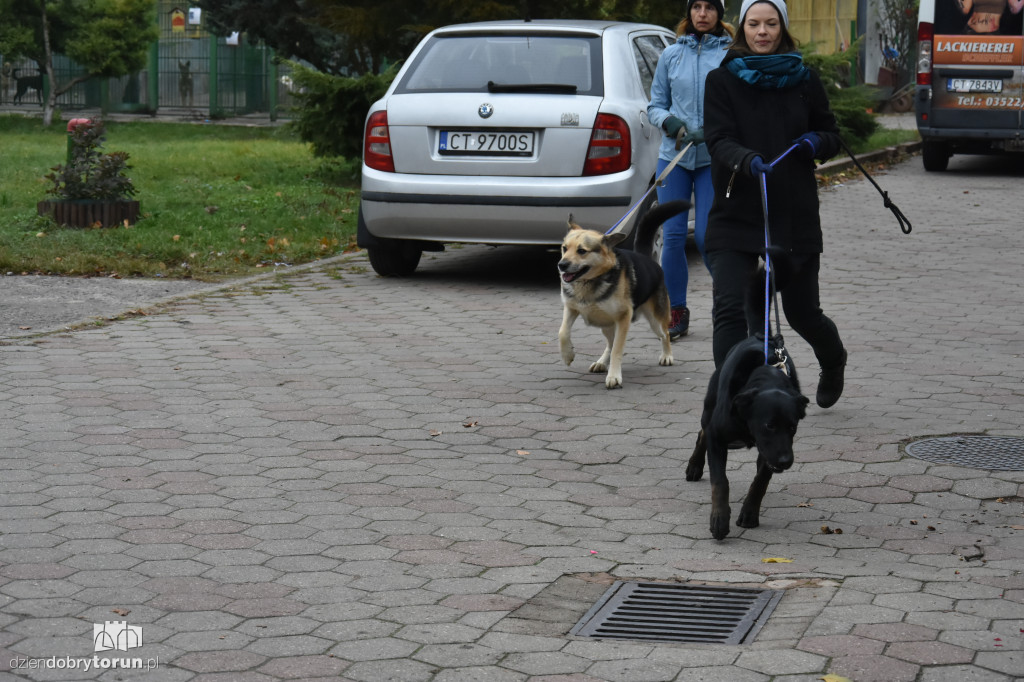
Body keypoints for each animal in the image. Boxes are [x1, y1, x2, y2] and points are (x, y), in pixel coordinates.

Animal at [557, 197, 692, 387]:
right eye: (564, 248)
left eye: (582, 251)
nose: (561, 265)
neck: (590, 282)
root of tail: (647, 258)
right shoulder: (571, 309)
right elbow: (562, 332)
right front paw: (568, 355)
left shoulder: (623, 318)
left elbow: (617, 350)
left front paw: (614, 376)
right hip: (606, 325)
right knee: (609, 343)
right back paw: (601, 362)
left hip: (654, 321)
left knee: (664, 334)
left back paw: (667, 355)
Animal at [688, 246, 806, 540]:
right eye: (769, 425)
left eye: (793, 427)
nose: (786, 461)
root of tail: (758, 336)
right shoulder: (719, 437)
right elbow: (721, 481)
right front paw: (719, 519)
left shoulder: (769, 452)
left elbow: (761, 480)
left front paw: (750, 512)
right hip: (709, 408)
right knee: (701, 432)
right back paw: (694, 466)